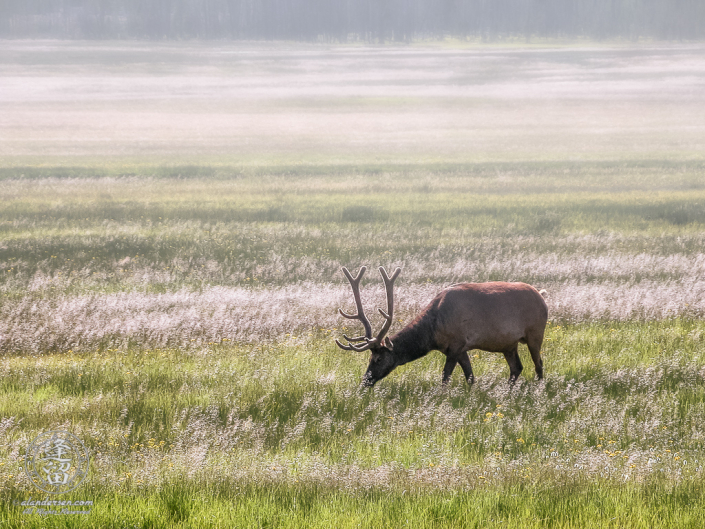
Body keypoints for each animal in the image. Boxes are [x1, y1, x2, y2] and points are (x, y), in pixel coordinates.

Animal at [336, 266, 552, 386]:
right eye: (369, 358)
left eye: (378, 359)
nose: (365, 381)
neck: (433, 333)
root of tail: (541, 295)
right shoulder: (460, 348)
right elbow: (470, 377)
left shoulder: (456, 344)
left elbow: (445, 377)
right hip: (508, 344)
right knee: (517, 368)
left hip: (535, 333)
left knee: (539, 365)